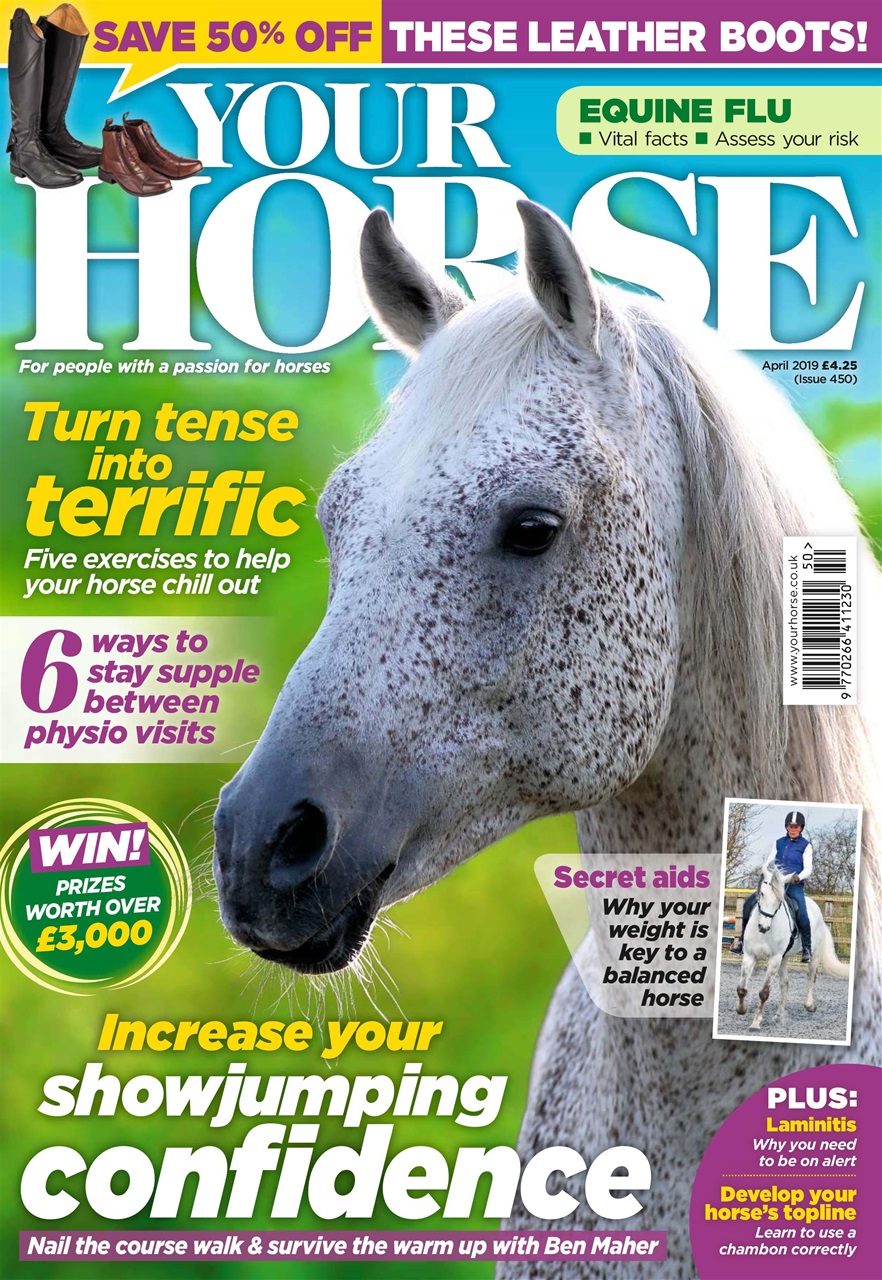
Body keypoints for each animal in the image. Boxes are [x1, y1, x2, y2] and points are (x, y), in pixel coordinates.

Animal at [736, 862, 850, 1030]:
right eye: (762, 894)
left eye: (779, 900)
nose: (763, 927)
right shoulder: (750, 956)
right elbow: (742, 988)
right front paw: (741, 1009)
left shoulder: (774, 959)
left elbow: (764, 992)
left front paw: (756, 1023)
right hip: (784, 958)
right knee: (785, 984)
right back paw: (778, 1016)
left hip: (813, 955)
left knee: (811, 977)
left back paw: (810, 1005)